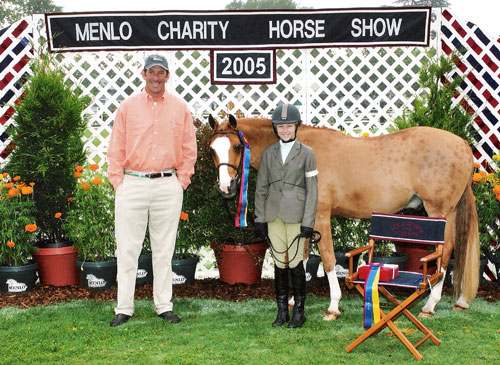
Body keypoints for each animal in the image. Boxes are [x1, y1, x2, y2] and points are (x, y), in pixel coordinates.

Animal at [208, 114, 480, 318]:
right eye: (211, 150)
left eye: (237, 147)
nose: (226, 188)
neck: (295, 149)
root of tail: (463, 145)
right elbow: (300, 258)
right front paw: (295, 300)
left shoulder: (320, 217)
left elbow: (327, 258)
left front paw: (333, 306)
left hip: (439, 212)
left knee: (445, 251)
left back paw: (430, 305)